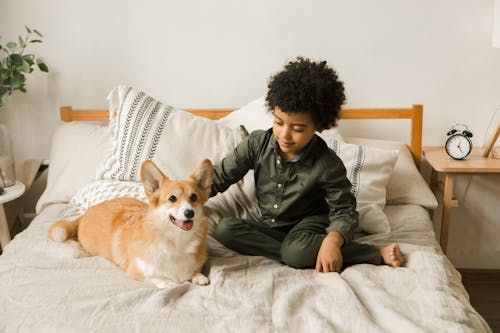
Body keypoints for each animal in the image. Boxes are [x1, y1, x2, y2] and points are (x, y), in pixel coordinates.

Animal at [48, 159, 215, 288]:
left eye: (193, 197)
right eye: (172, 198)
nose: (190, 213)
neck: (177, 241)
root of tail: (85, 214)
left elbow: (194, 270)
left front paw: (198, 276)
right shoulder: (137, 270)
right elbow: (158, 278)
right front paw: (171, 283)